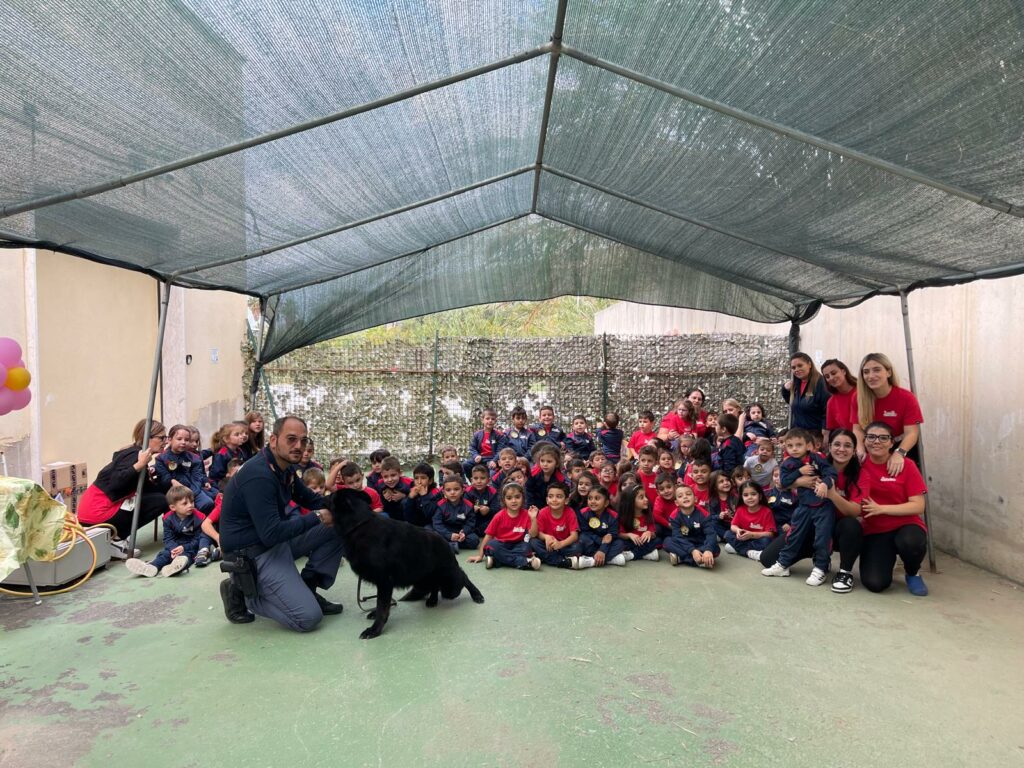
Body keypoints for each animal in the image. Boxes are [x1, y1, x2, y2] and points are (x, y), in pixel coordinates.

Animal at [329, 489, 485, 638]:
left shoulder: (384, 582)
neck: (359, 523)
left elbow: (382, 606)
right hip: (424, 579)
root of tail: (446, 544)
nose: (323, 495)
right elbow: (381, 604)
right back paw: (432, 599)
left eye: (329, 496)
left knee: (463, 577)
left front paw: (375, 629)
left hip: (450, 584)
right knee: (435, 585)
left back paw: (476, 594)